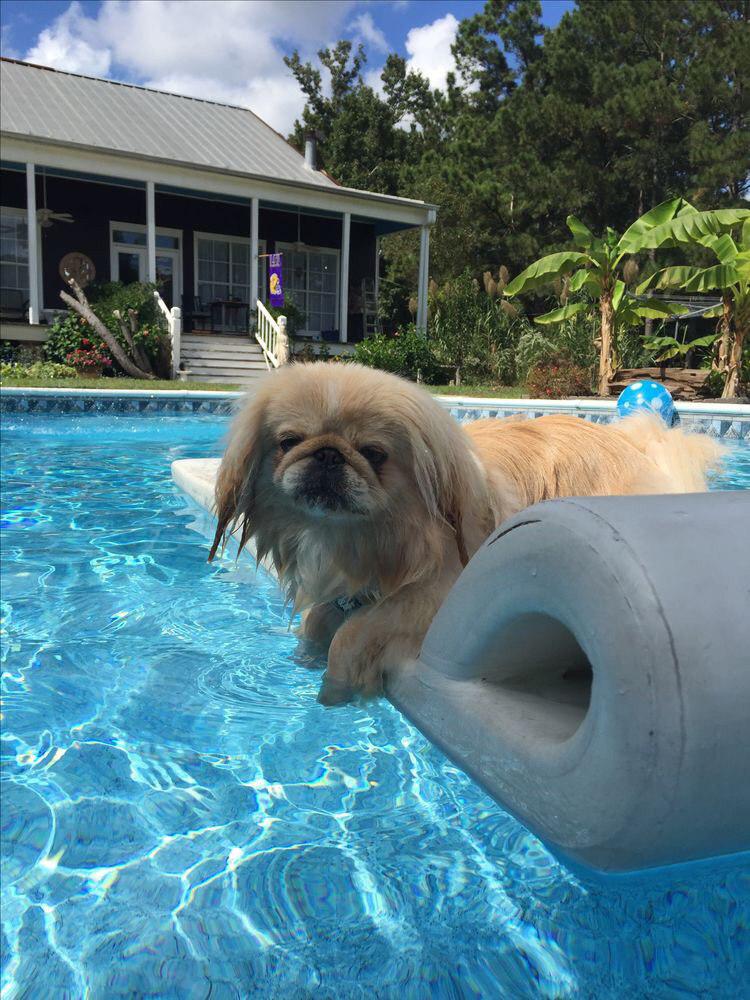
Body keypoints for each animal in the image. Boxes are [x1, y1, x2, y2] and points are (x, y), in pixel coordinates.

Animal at [210, 362, 724, 704]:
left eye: (374, 454)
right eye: (289, 443)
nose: (328, 454)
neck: (363, 537)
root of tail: (632, 446)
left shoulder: (437, 591)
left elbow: (354, 633)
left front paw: (336, 688)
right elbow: (319, 620)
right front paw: (307, 655)